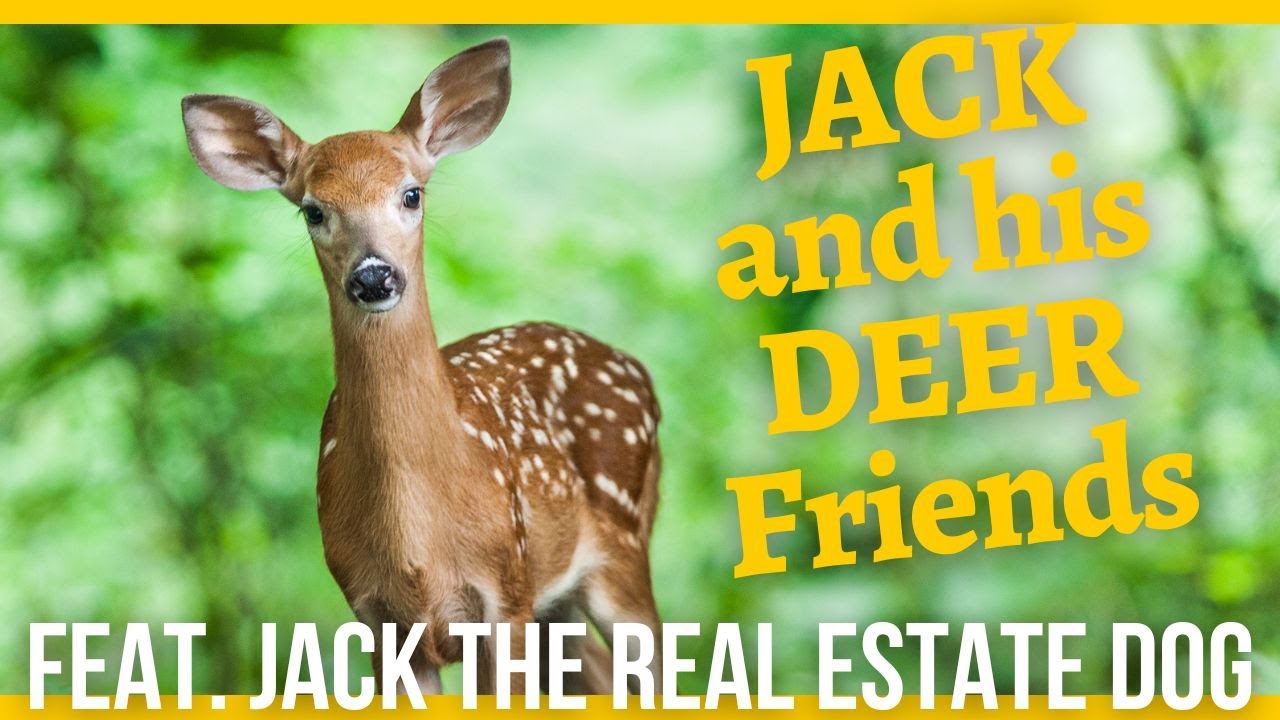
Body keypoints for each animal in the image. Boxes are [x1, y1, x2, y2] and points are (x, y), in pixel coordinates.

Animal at [180, 38, 663, 698]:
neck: (416, 536)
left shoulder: (503, 595)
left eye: (412, 194)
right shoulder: (377, 618)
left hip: (622, 550)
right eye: (312, 210)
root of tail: (636, 369)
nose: (374, 276)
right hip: (557, 609)